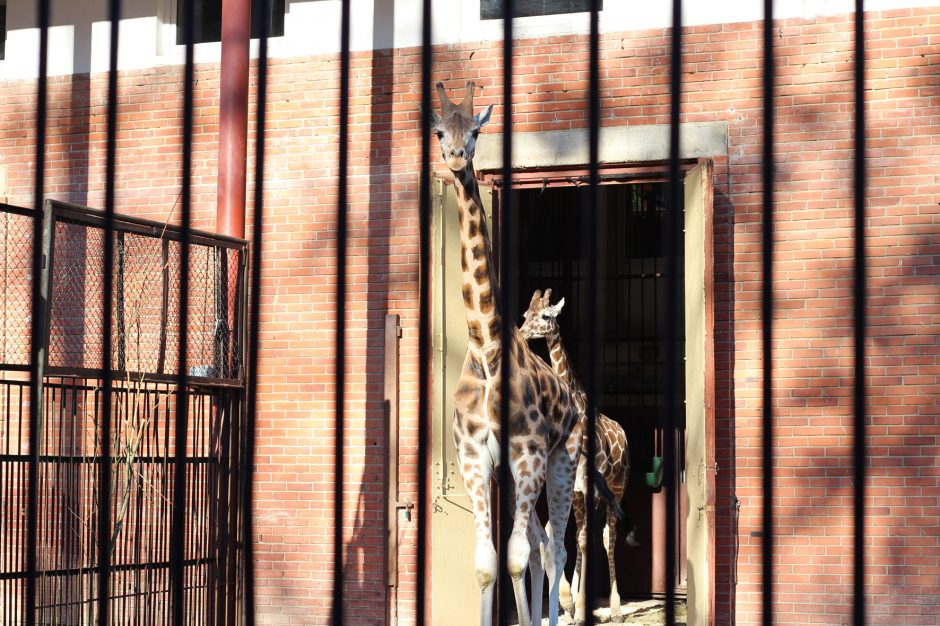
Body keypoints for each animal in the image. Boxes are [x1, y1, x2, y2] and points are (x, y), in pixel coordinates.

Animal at [434, 83, 580, 624]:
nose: (457, 158)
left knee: (555, 545)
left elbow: (516, 557)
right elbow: (487, 563)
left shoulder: (529, 452)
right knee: (541, 544)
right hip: (520, 475)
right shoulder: (475, 456)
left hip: (560, 461)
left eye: (476, 130)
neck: (486, 344)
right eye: (440, 130)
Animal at [516, 290, 644, 620]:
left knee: (607, 537)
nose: (522, 334)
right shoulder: (570, 486)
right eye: (525, 314)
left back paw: (615, 608)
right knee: (583, 535)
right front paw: (568, 603)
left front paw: (581, 605)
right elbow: (561, 535)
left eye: (546, 316)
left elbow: (586, 540)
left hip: (616, 486)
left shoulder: (586, 486)